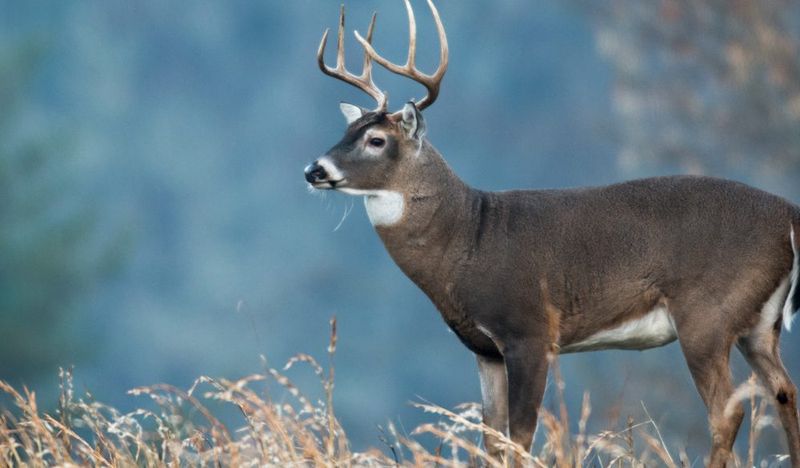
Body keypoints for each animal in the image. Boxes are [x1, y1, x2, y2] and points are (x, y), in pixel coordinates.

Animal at [303, 1, 800, 465]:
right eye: (346, 130)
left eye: (377, 140)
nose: (314, 170)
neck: (469, 237)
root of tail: (790, 216)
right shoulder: (485, 350)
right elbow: (493, 439)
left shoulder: (530, 332)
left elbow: (521, 436)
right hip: (759, 323)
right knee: (784, 392)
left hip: (706, 314)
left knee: (728, 411)